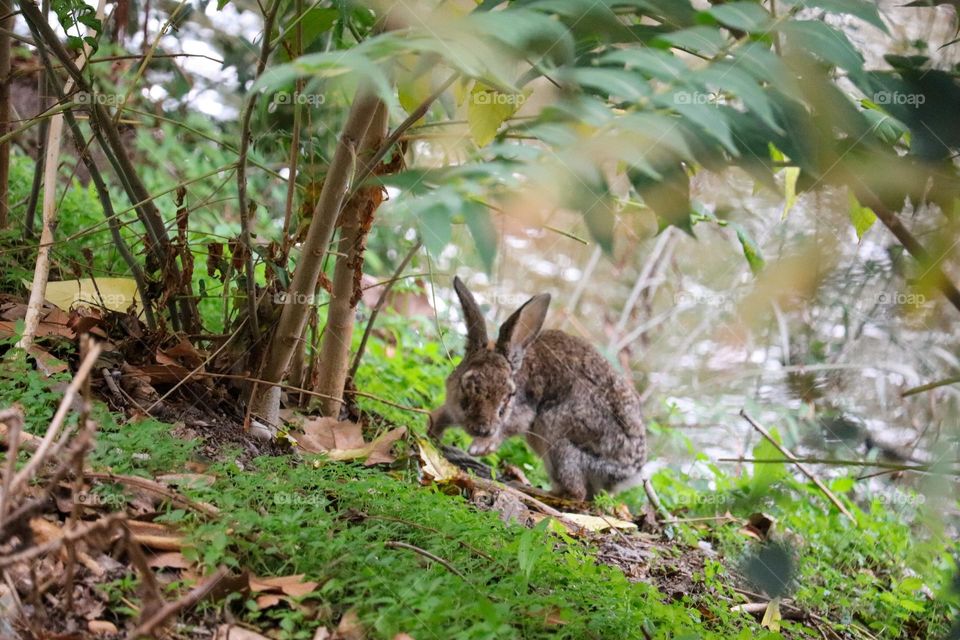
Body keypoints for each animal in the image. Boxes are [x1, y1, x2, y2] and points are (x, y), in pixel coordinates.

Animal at [429, 277, 647, 501]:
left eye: (509, 396)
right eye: (467, 385)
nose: (482, 429)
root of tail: (631, 473)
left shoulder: (523, 414)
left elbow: (511, 426)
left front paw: (479, 447)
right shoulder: (452, 408)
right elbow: (439, 417)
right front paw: (431, 433)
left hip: (559, 437)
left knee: (575, 492)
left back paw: (530, 490)